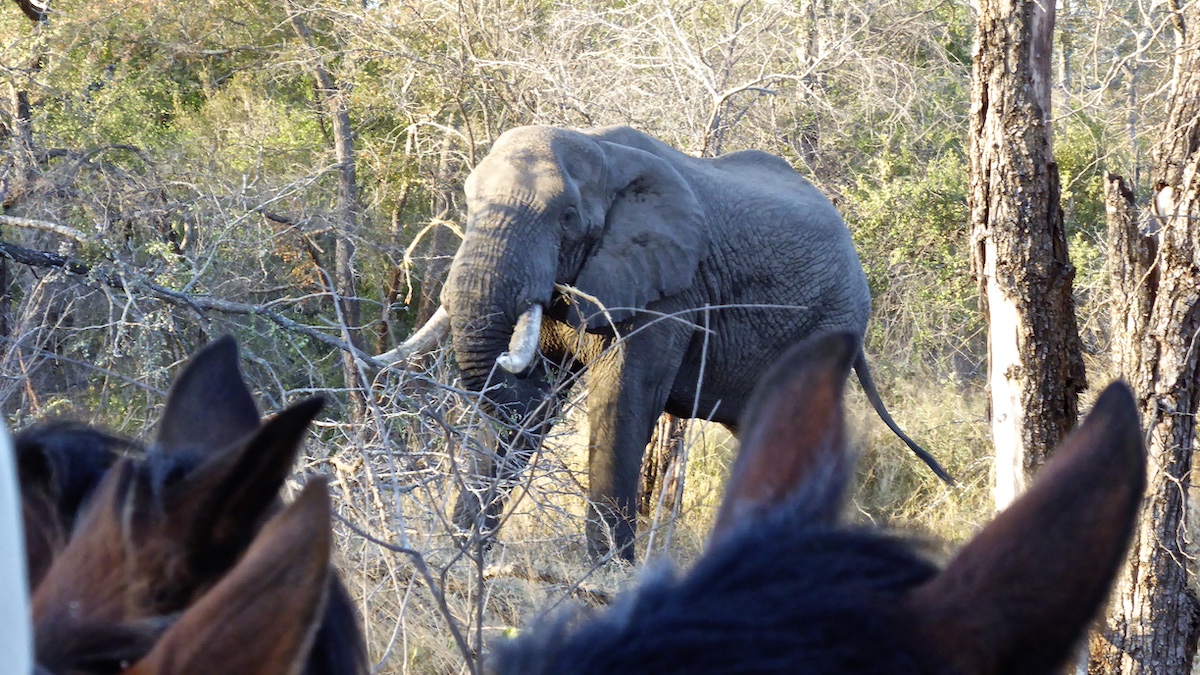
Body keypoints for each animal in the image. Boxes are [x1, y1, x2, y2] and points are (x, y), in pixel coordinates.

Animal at [384, 123, 945, 559]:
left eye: (567, 217)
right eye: (469, 202)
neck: (601, 151)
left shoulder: (670, 291)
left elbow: (622, 401)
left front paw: (606, 573)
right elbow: (532, 404)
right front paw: (461, 558)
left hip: (831, 325)